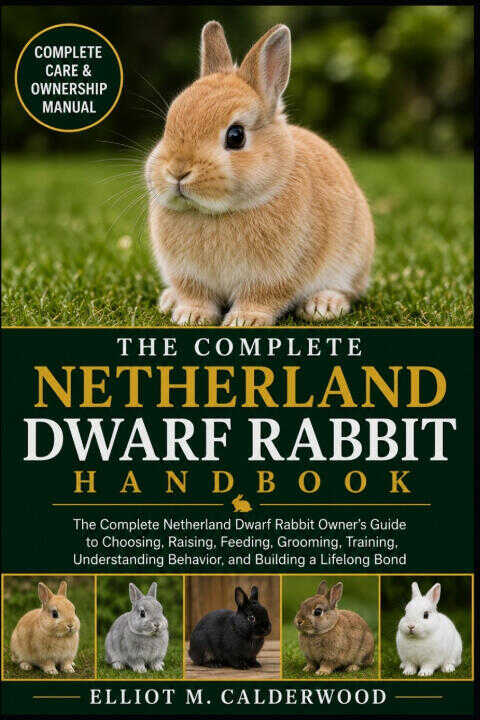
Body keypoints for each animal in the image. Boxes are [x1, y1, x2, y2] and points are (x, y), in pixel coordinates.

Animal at [146, 21, 374, 327]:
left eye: (236, 136)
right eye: (168, 125)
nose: (177, 171)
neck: (216, 213)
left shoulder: (274, 277)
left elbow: (260, 298)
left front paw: (244, 320)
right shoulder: (189, 276)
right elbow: (196, 295)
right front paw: (190, 315)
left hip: (354, 257)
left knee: (348, 290)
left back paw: (322, 306)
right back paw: (169, 300)